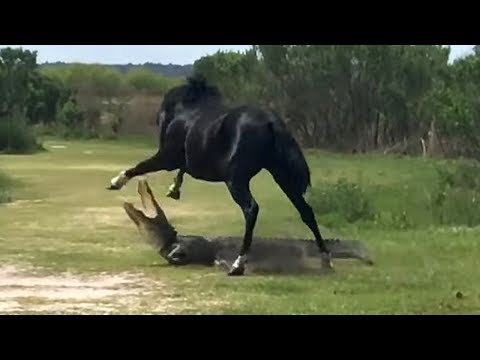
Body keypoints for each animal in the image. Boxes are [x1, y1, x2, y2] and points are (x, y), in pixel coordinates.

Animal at [109, 74, 334, 274]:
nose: (158, 120)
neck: (187, 115)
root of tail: (272, 123)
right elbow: (179, 170)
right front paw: (173, 189)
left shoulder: (166, 158)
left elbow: (140, 166)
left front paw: (116, 182)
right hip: (283, 177)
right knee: (306, 211)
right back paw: (326, 260)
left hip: (236, 180)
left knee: (251, 209)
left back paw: (238, 264)